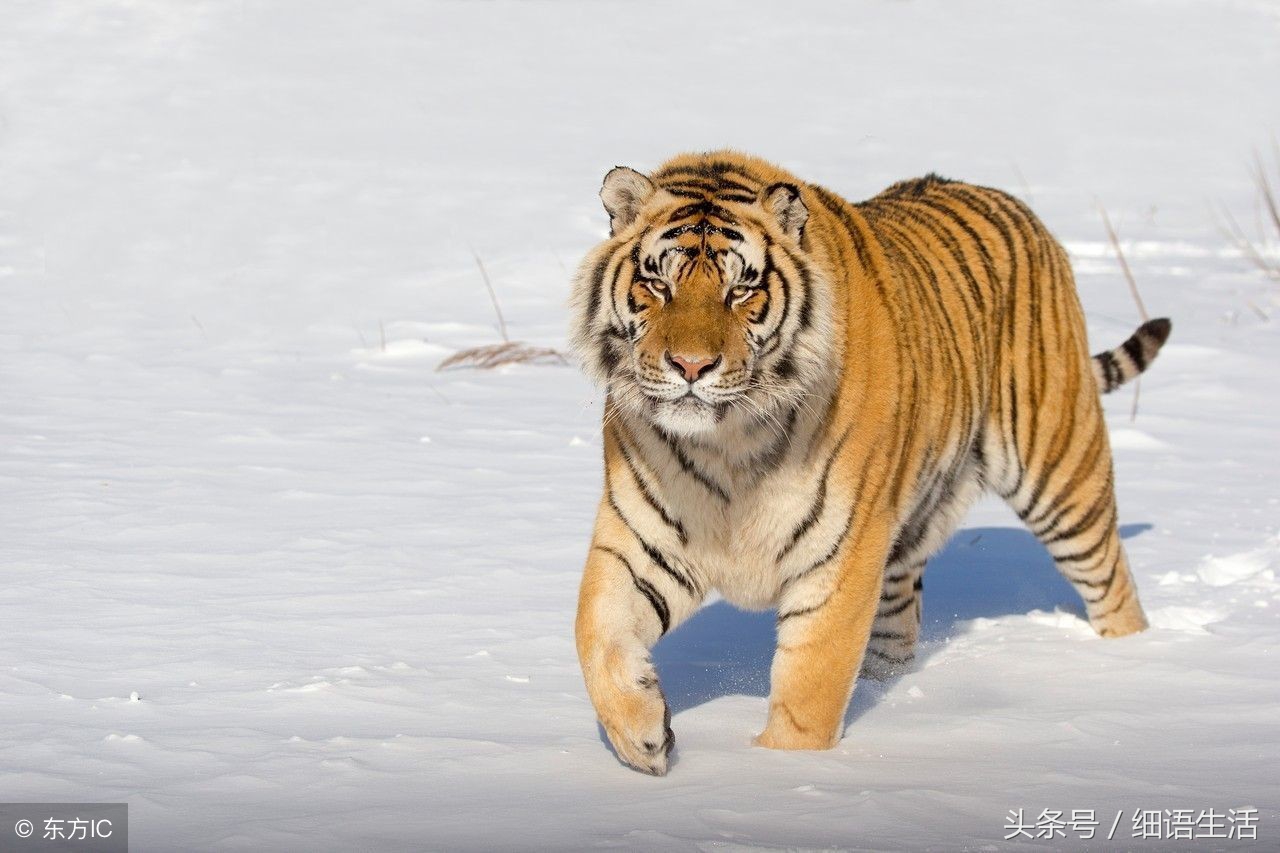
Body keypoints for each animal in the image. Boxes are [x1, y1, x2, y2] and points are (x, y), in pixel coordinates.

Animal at [570, 149, 1172, 773]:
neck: (726, 444)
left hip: (1062, 473)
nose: (691, 366)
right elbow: (594, 632)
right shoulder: (639, 540)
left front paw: (780, 770)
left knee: (1112, 582)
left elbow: (809, 688)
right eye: (657, 283)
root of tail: (1017, 208)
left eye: (741, 291)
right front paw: (643, 740)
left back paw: (1134, 660)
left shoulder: (839, 555)